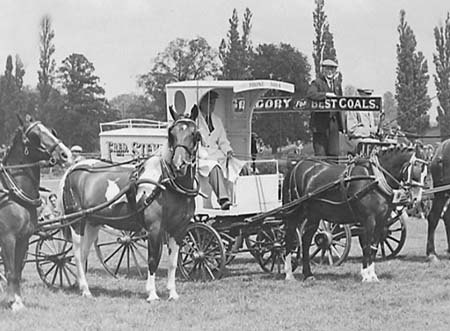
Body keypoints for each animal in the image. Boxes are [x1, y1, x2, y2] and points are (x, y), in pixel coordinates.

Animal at [0, 115, 71, 310]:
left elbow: (17, 270)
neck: (13, 193)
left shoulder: (24, 237)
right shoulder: (7, 238)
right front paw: (11, 302)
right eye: (35, 136)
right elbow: (9, 271)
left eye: (51, 131)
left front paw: (18, 301)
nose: (65, 154)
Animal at [60, 107, 201, 302]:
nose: (180, 164)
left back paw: (81, 286)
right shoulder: (154, 229)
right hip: (77, 223)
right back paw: (86, 290)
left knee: (83, 253)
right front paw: (152, 293)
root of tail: (74, 168)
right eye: (171, 134)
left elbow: (173, 263)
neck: (166, 184)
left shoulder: (179, 229)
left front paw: (172, 293)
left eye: (195, 134)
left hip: (92, 224)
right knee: (77, 254)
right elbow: (152, 260)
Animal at [284, 146, 426, 282]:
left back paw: (308, 274)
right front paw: (366, 276)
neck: (375, 179)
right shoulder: (369, 220)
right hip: (294, 214)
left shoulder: (381, 222)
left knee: (305, 241)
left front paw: (373, 275)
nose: (416, 199)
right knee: (290, 238)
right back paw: (289, 274)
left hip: (314, 215)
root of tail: (296, 166)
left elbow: (374, 247)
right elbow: (367, 246)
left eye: (425, 173)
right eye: (416, 170)